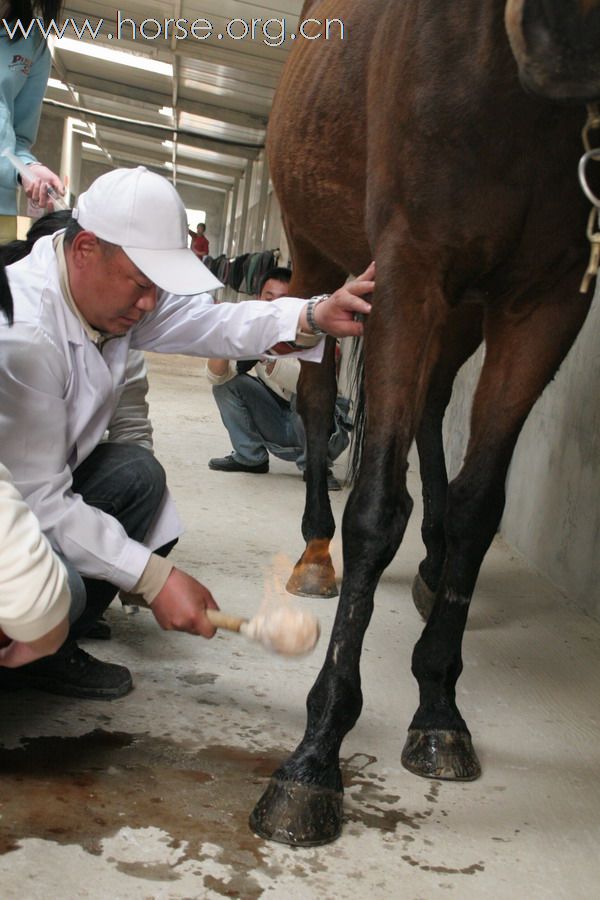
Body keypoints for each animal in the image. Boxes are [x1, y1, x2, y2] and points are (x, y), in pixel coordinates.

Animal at [251, 0, 600, 844]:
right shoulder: (410, 266)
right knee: (319, 404)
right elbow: (377, 508)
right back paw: (317, 554)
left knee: (434, 411)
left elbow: (479, 506)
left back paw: (435, 564)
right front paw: (314, 756)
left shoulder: (548, 300)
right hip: (321, 260)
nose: (569, 35)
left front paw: (439, 708)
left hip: (463, 308)